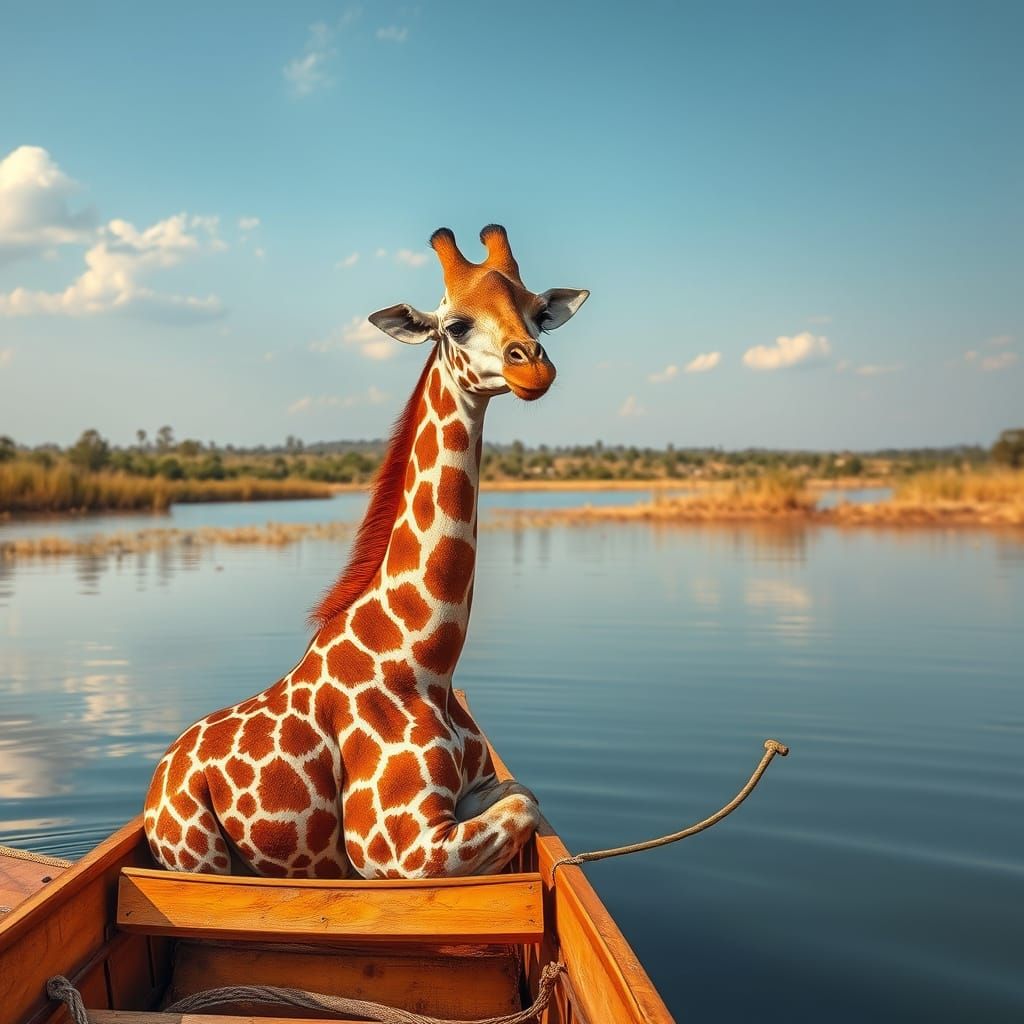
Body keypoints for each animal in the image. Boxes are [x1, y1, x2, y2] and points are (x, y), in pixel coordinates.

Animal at [143, 225, 589, 879]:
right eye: (456, 324)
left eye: (538, 315)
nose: (533, 366)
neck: (426, 658)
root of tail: (155, 784)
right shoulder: (397, 847)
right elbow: (524, 807)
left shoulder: (475, 791)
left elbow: (523, 792)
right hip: (197, 853)